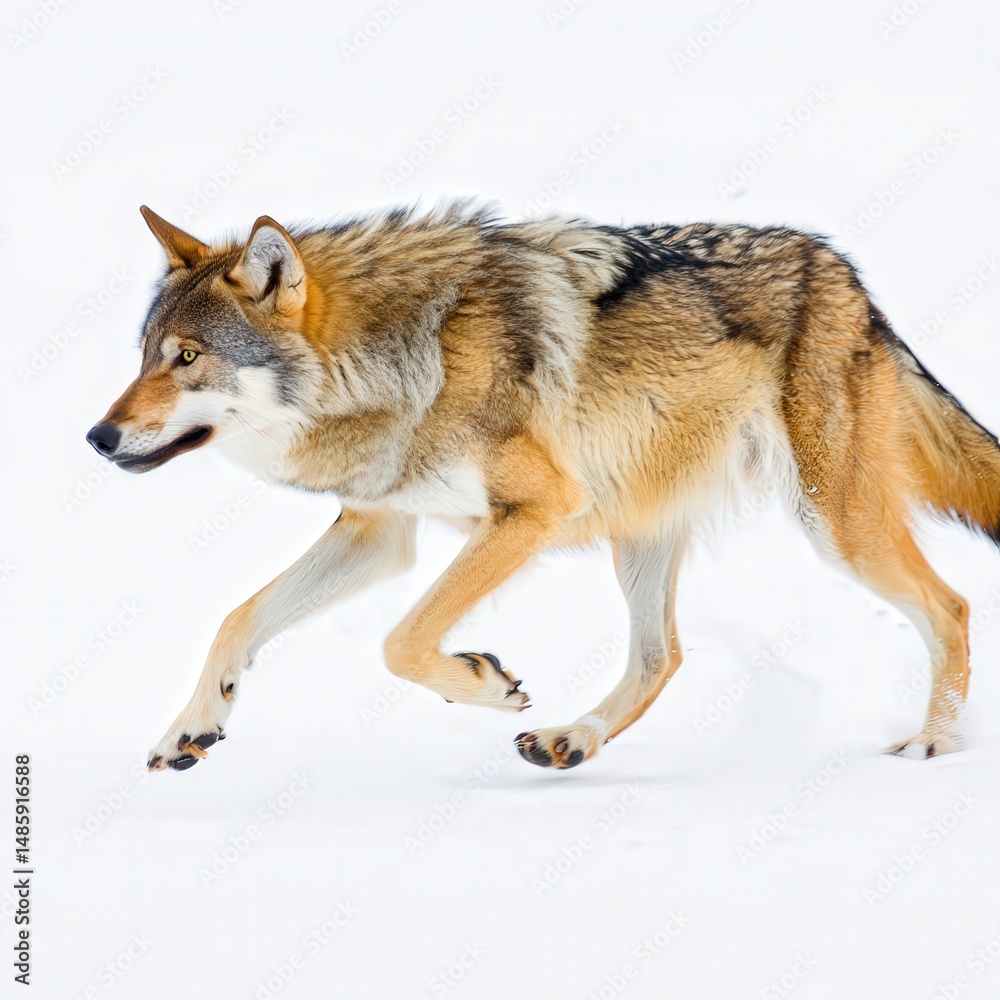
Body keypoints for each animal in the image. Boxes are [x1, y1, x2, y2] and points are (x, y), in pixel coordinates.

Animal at [86, 203, 1000, 772]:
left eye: (187, 358)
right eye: (143, 358)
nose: (97, 439)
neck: (405, 357)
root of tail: (846, 275)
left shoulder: (534, 512)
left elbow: (401, 641)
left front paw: (486, 686)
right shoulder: (379, 531)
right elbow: (239, 618)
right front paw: (191, 728)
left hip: (832, 523)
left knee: (951, 606)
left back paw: (936, 747)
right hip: (644, 531)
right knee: (662, 656)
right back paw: (574, 741)